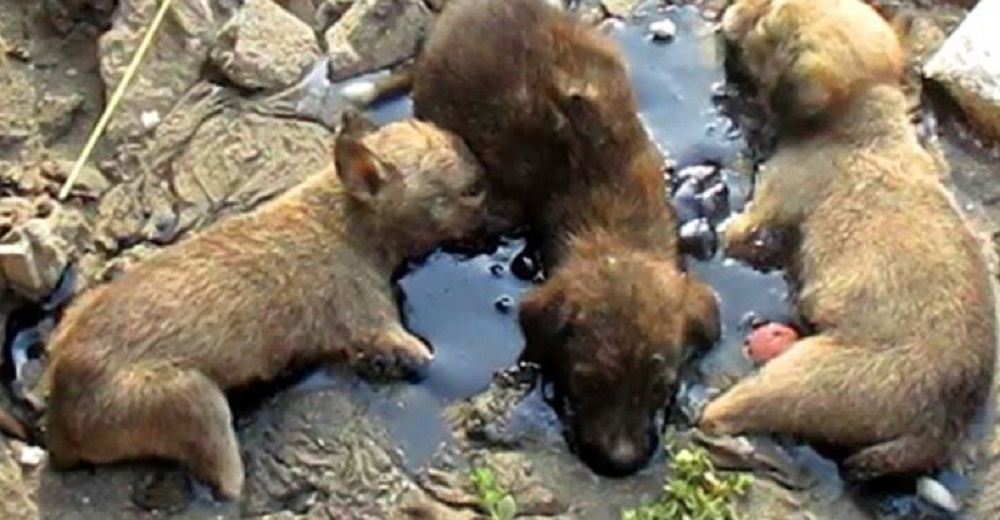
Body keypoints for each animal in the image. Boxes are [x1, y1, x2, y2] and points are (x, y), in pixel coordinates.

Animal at [41, 112, 490, 500]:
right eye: (472, 190)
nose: (496, 223)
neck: (347, 216)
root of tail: (59, 425)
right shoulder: (381, 328)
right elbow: (426, 357)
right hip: (196, 402)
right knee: (228, 486)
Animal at [700, 0, 996, 484]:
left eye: (767, 26)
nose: (727, 13)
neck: (864, 123)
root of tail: (941, 424)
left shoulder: (772, 198)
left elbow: (738, 230)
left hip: (813, 376)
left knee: (737, 410)